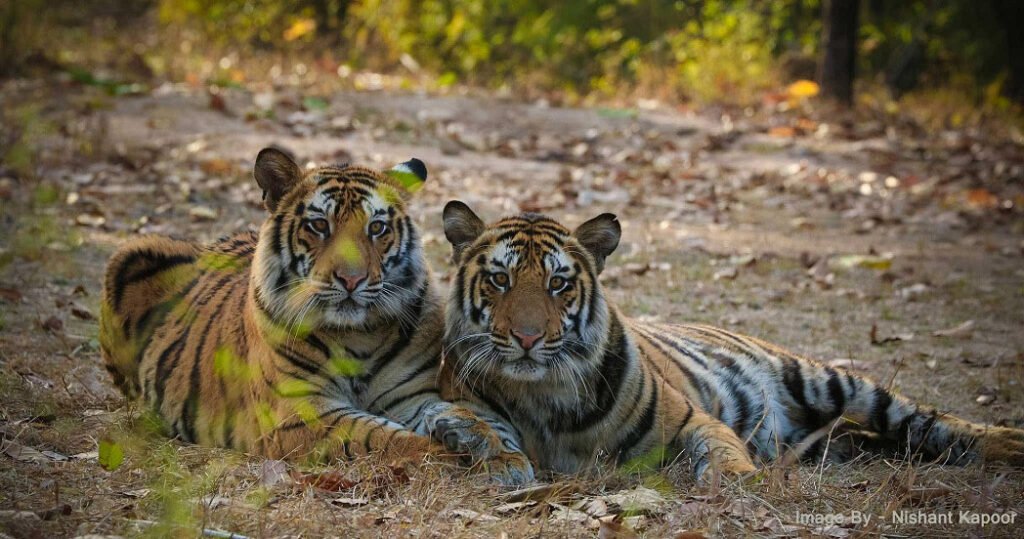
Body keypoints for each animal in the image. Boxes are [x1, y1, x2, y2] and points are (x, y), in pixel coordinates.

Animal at [98, 148, 532, 484]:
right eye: (319, 225)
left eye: (377, 228)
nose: (352, 279)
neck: (360, 333)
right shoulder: (300, 414)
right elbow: (380, 437)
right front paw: (442, 457)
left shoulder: (411, 395)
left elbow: (455, 411)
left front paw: (496, 452)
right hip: (130, 253)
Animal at [437, 201, 1024, 482]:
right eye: (500, 280)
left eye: (558, 284)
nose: (528, 337)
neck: (546, 394)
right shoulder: (467, 399)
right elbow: (478, 426)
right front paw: (495, 458)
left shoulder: (688, 418)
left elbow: (718, 445)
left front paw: (738, 477)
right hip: (829, 437)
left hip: (828, 380)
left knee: (923, 420)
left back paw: (1005, 443)